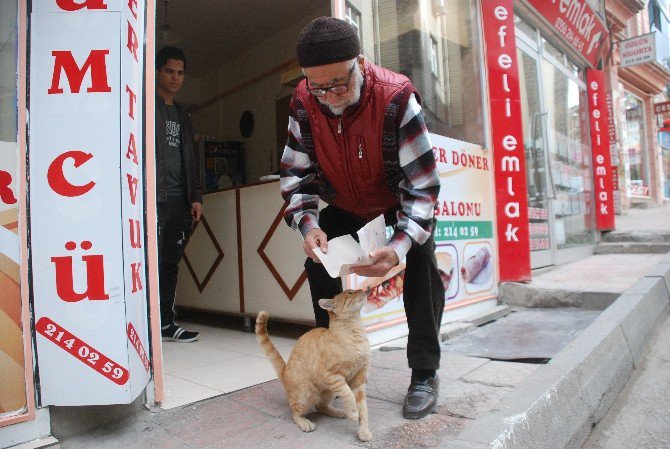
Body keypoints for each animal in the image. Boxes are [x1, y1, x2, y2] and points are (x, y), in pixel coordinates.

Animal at [256, 288, 372, 440]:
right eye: (350, 293)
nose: (363, 289)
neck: (355, 334)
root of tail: (285, 371)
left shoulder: (359, 380)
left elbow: (363, 409)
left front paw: (364, 431)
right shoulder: (333, 375)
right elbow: (348, 395)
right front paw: (353, 413)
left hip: (329, 392)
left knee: (320, 407)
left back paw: (338, 412)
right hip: (304, 394)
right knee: (295, 413)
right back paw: (305, 422)